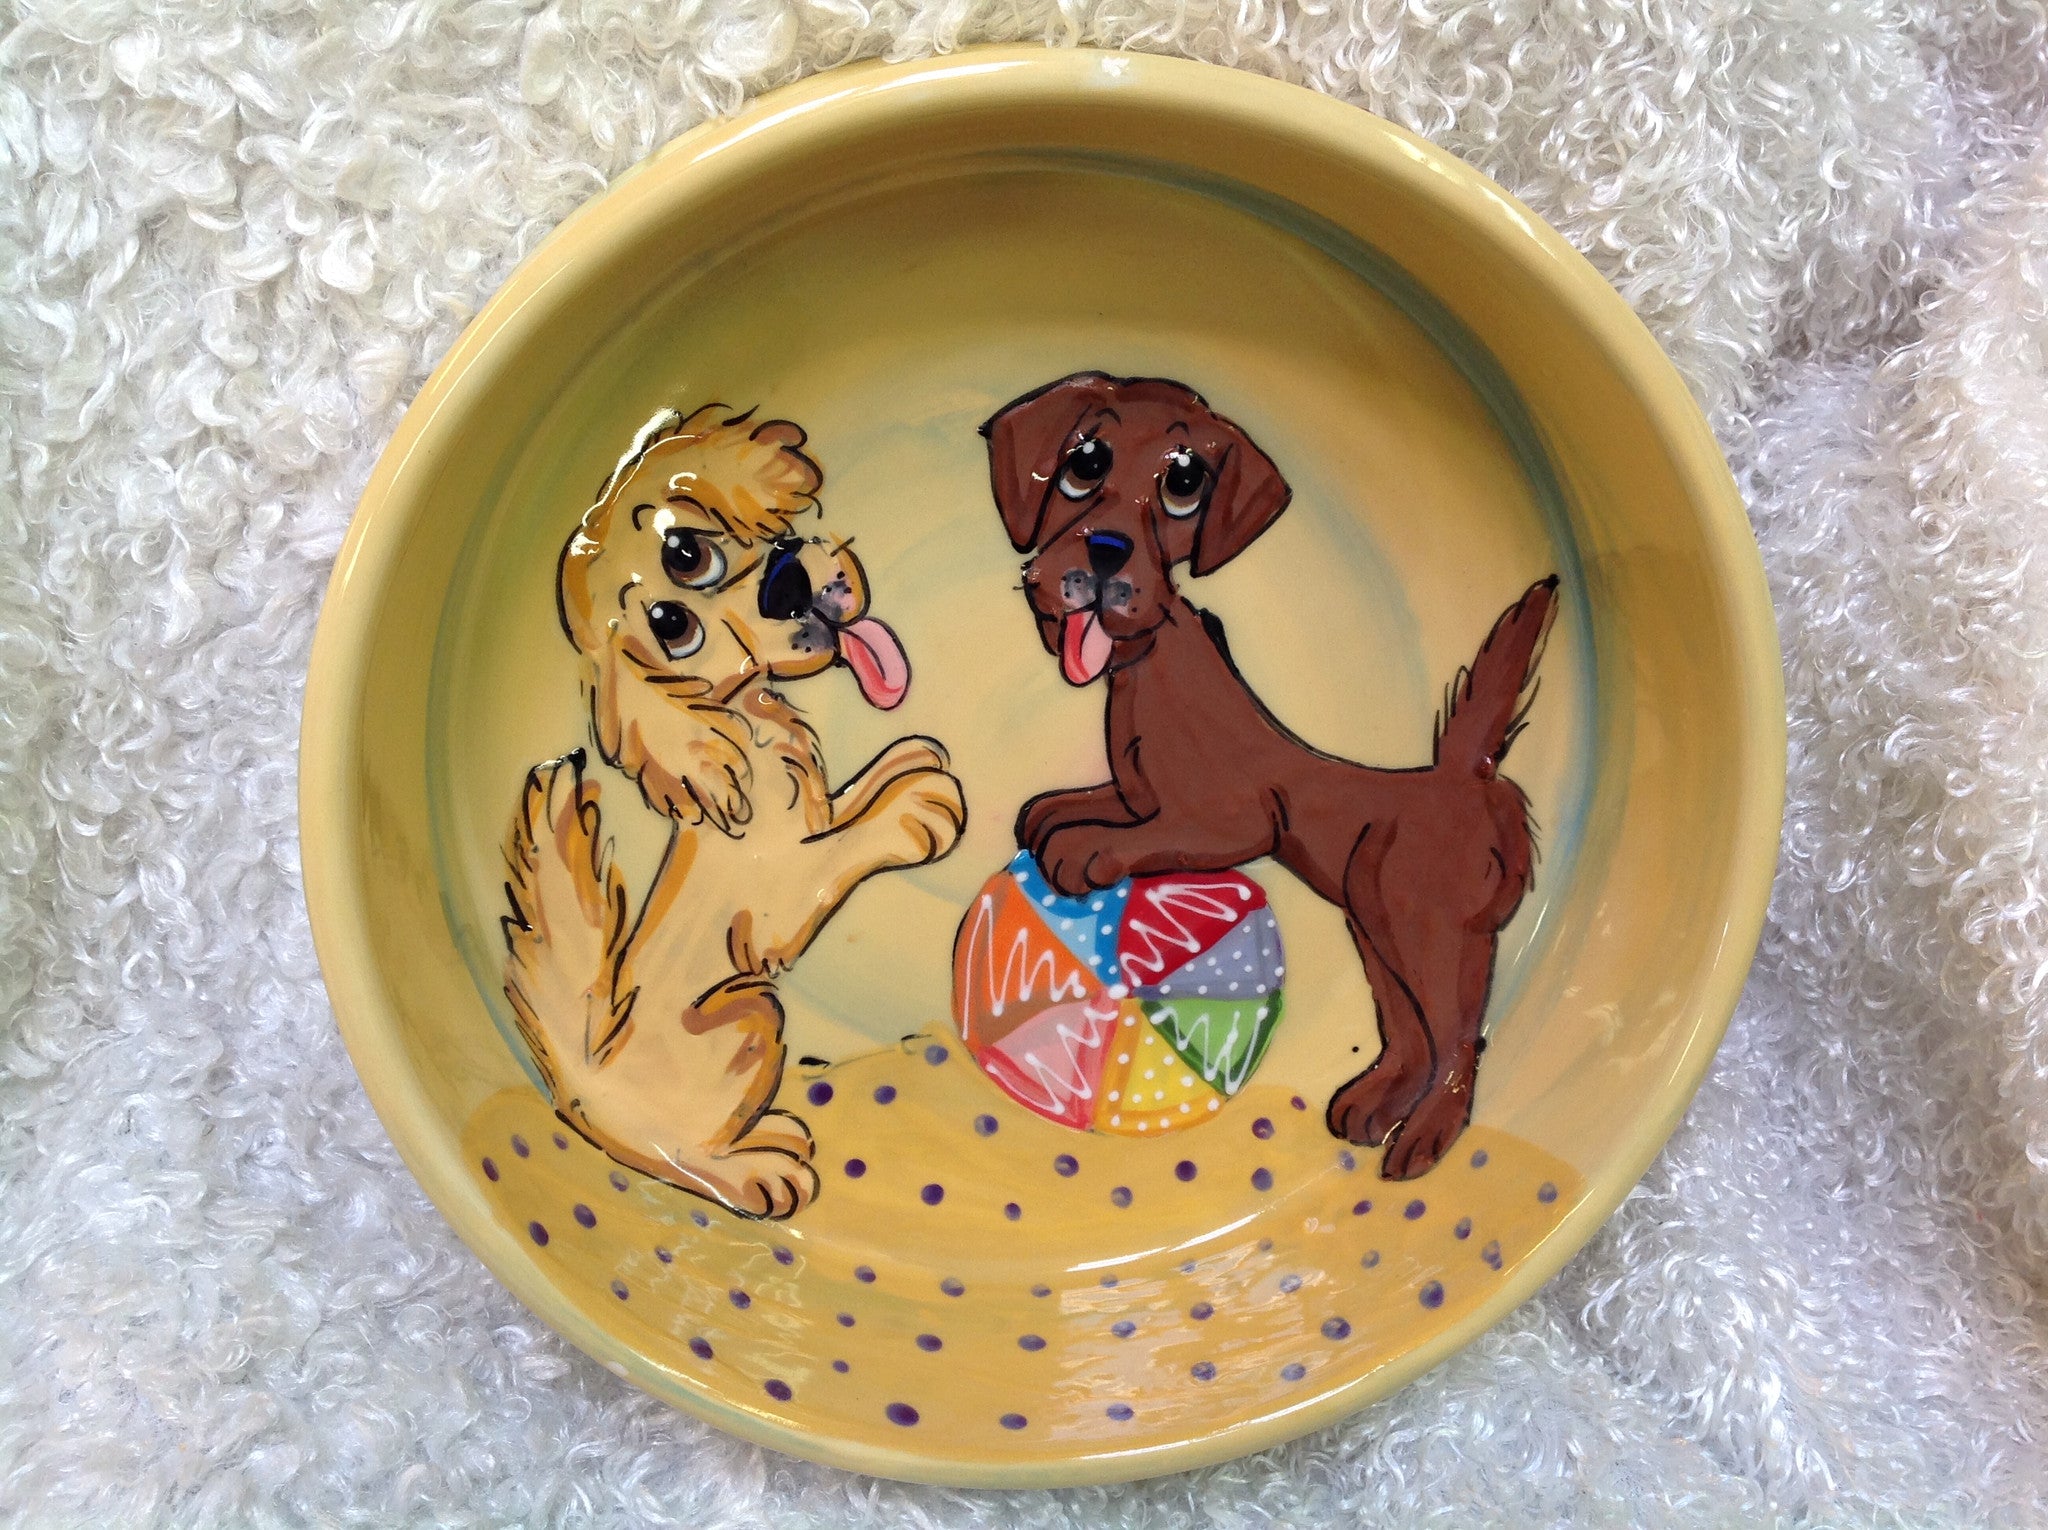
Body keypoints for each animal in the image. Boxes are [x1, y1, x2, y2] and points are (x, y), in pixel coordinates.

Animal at [501, 404, 966, 1219]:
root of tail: (582, 1083)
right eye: (671, 625)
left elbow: (854, 795)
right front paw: (918, 810)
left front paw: (914, 763)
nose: (788, 585)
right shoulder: (778, 897)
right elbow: (848, 844)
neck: (750, 723)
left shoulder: (815, 805)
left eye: (689, 550)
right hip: (752, 1014)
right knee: (687, 1154)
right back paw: (760, 1172)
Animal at [982, 372, 1556, 1180]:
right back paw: (1370, 1108)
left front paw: (1083, 852)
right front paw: (1054, 818)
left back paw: (1425, 1137)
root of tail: (1474, 779)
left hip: (1423, 930)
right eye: (1084, 462)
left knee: (1458, 1039)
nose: (1104, 553)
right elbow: (1076, 804)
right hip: (1372, 928)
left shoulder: (1229, 824)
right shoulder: (1138, 795)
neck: (1152, 673)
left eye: (1184, 483)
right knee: (1413, 1035)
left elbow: (1133, 838)